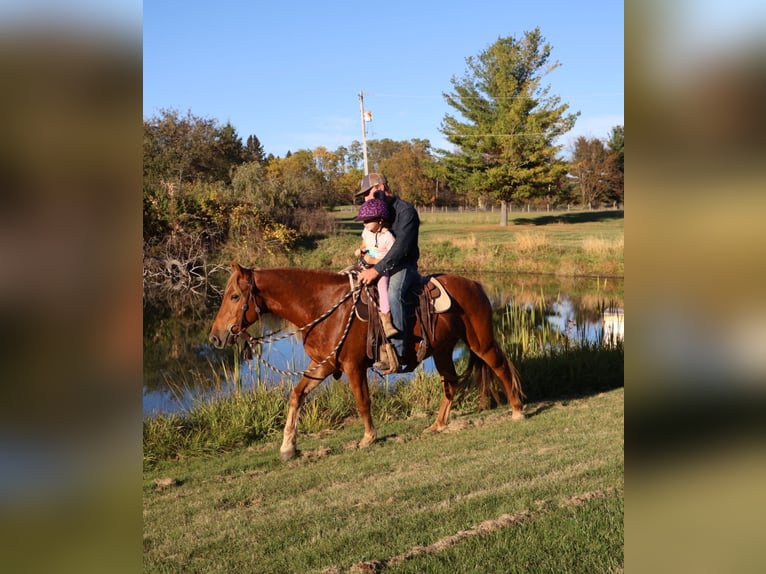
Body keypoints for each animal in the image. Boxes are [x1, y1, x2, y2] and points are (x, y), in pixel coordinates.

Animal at [208, 263, 525, 460]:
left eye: (234, 296)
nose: (215, 337)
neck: (324, 308)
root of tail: (474, 284)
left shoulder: (353, 365)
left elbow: (362, 400)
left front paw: (369, 437)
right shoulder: (323, 365)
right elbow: (297, 395)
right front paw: (288, 447)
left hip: (480, 342)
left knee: (500, 367)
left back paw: (517, 410)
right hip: (443, 349)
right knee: (451, 382)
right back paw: (437, 425)